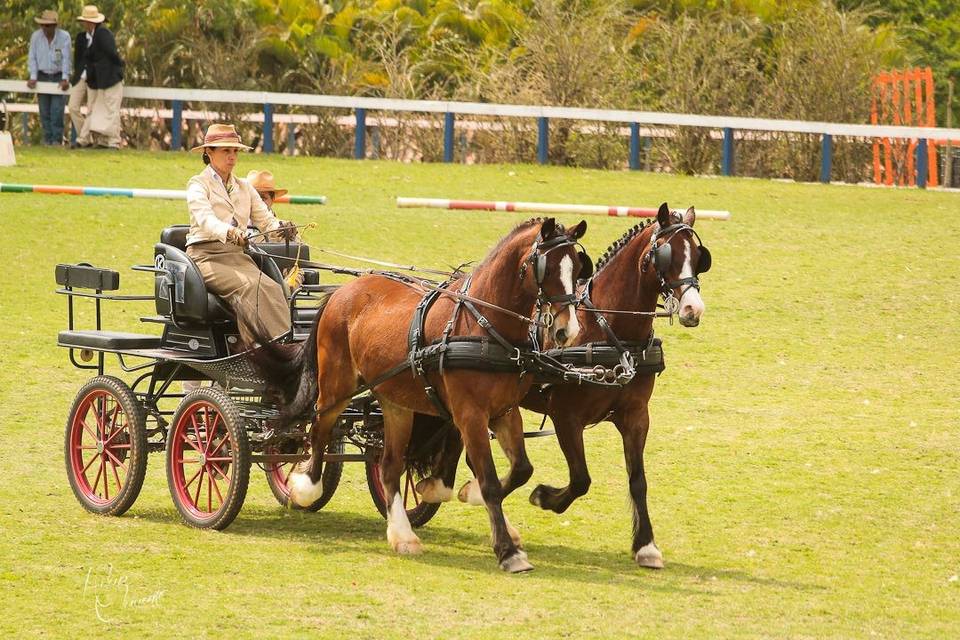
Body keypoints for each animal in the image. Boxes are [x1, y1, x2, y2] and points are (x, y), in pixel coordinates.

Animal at [266, 218, 588, 572]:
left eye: (577, 268)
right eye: (547, 267)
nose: (568, 331)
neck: (484, 326)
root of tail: (342, 291)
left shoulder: (504, 412)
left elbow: (520, 470)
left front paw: (454, 491)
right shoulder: (471, 414)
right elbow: (490, 481)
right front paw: (508, 551)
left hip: (395, 403)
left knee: (390, 466)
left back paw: (402, 535)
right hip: (337, 387)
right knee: (319, 430)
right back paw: (305, 487)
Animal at [454, 202, 708, 568]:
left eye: (698, 255)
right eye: (666, 255)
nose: (693, 308)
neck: (609, 332)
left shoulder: (636, 416)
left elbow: (638, 481)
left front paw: (645, 544)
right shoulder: (567, 417)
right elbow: (581, 479)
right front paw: (544, 497)